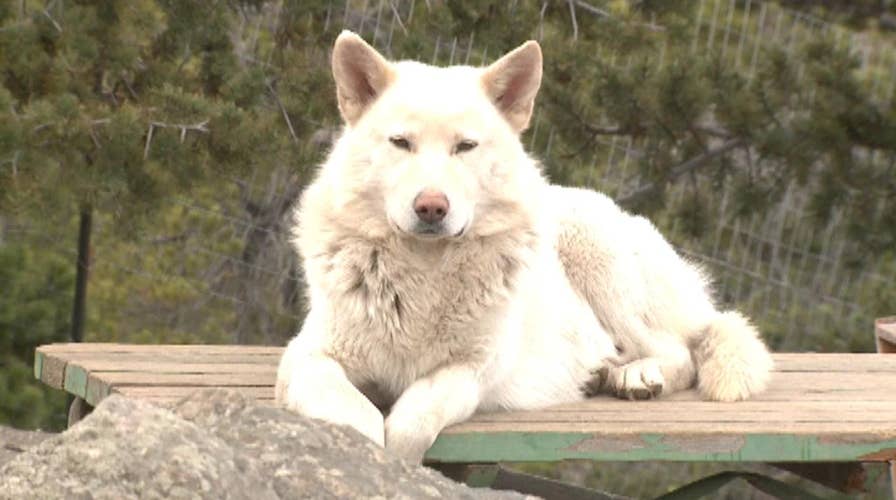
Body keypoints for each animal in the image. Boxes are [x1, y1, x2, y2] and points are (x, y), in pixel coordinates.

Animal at [275, 31, 773, 463]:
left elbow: (412, 420)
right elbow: (355, 416)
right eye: (401, 143)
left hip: (592, 249)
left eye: (465, 146)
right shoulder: (306, 359)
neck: (422, 278)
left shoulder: (472, 372)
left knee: (679, 351)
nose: (432, 207)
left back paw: (634, 376)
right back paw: (602, 372)